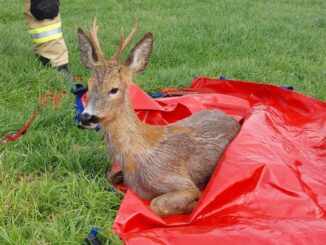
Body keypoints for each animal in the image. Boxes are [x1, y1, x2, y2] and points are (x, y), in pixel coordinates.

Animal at [76, 19, 239, 217]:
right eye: (88, 85)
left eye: (114, 89)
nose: (86, 117)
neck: (134, 158)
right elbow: (109, 175)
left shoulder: (179, 180)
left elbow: (156, 204)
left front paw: (196, 202)